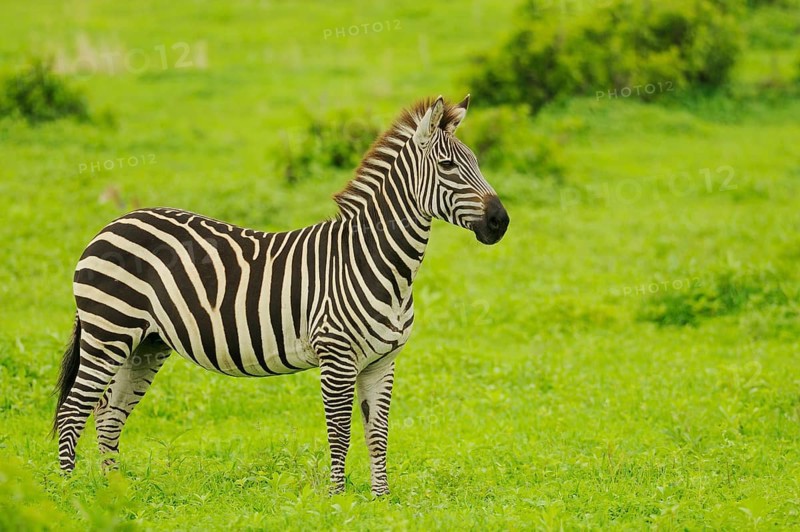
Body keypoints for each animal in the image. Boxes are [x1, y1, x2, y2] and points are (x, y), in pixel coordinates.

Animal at [53, 95, 509, 496]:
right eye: (448, 166)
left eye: (477, 162)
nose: (500, 222)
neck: (376, 261)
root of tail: (114, 223)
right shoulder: (336, 357)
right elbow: (340, 432)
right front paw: (339, 498)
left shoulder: (383, 362)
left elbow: (377, 433)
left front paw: (381, 499)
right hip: (108, 332)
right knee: (73, 411)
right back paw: (70, 494)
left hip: (144, 344)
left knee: (107, 416)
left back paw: (115, 493)